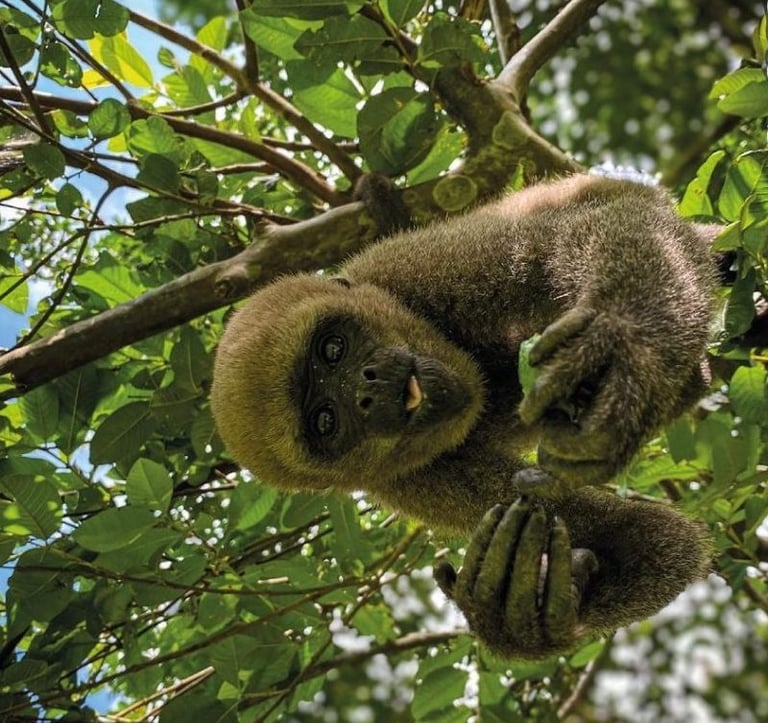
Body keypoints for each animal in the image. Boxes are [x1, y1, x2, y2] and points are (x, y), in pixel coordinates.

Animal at [211, 173, 716, 659]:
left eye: (333, 349)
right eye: (326, 421)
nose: (367, 387)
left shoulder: (423, 271)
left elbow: (581, 237)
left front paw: (625, 344)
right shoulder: (412, 482)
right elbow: (639, 534)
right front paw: (513, 616)